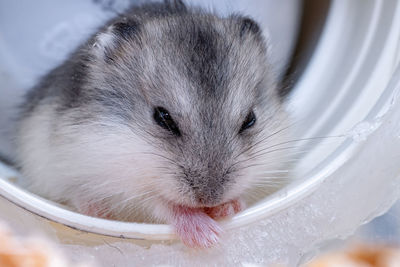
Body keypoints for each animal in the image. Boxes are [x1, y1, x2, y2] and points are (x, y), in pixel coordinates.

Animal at [15, 0, 290, 249]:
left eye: (250, 119)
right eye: (163, 117)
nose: (209, 200)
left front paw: (228, 208)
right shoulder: (121, 184)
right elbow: (163, 204)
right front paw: (208, 236)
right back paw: (96, 210)